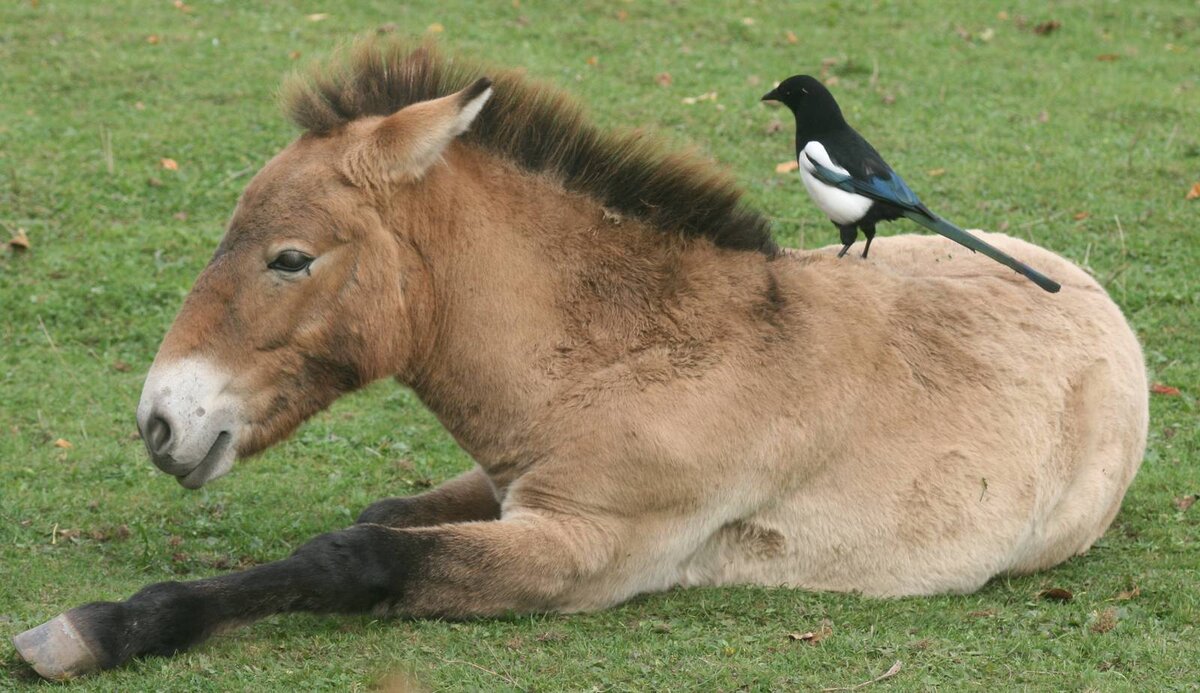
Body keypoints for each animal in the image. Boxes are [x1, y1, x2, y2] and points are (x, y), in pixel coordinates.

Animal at [14, 37, 1147, 676]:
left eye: (290, 257)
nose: (162, 420)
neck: (632, 355)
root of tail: (1096, 297)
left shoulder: (585, 550)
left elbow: (355, 557)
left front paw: (93, 631)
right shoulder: (514, 488)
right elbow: (378, 515)